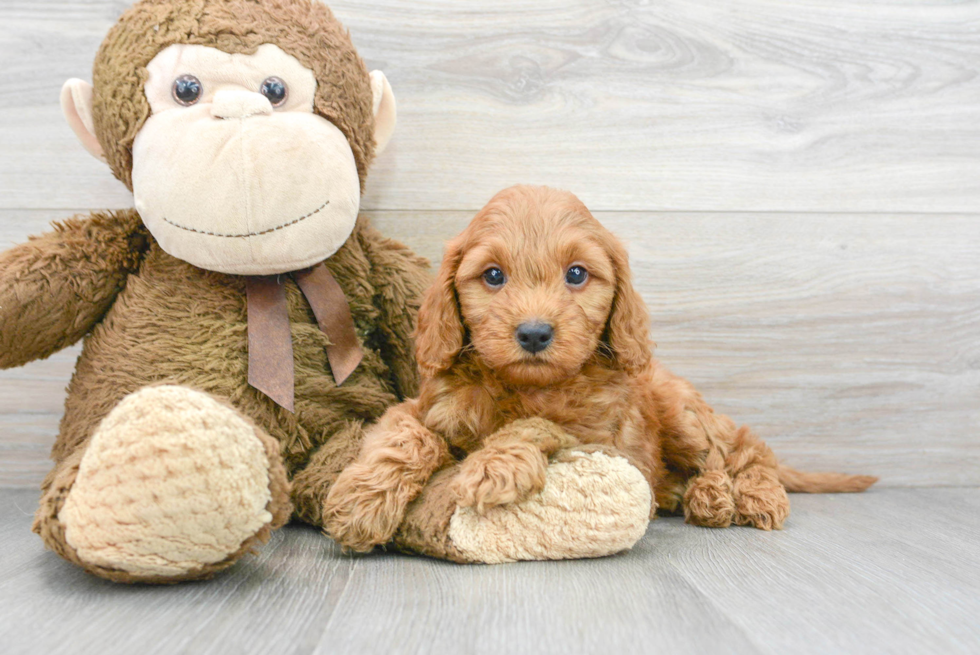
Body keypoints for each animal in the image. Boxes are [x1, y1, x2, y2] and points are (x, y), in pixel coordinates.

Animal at [326, 184, 876, 552]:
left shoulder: (599, 440)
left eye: (576, 274)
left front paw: (493, 465)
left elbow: (538, 424)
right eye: (493, 276)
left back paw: (747, 495)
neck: (524, 386)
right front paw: (360, 500)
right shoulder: (424, 406)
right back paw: (695, 495)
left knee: (744, 450)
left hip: (681, 413)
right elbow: (407, 436)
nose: (534, 333)